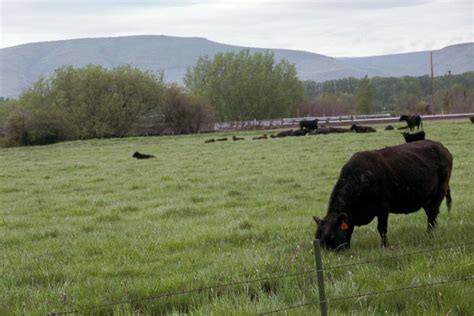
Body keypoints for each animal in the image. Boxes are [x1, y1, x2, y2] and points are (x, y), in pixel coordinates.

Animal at [314, 139, 452, 251]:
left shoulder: (383, 208)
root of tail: (441, 147)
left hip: (439, 191)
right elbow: (349, 230)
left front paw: (384, 246)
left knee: (432, 215)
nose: (328, 255)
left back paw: (429, 235)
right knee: (432, 215)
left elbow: (382, 229)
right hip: (427, 198)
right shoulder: (351, 217)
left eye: (331, 236)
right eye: (317, 237)